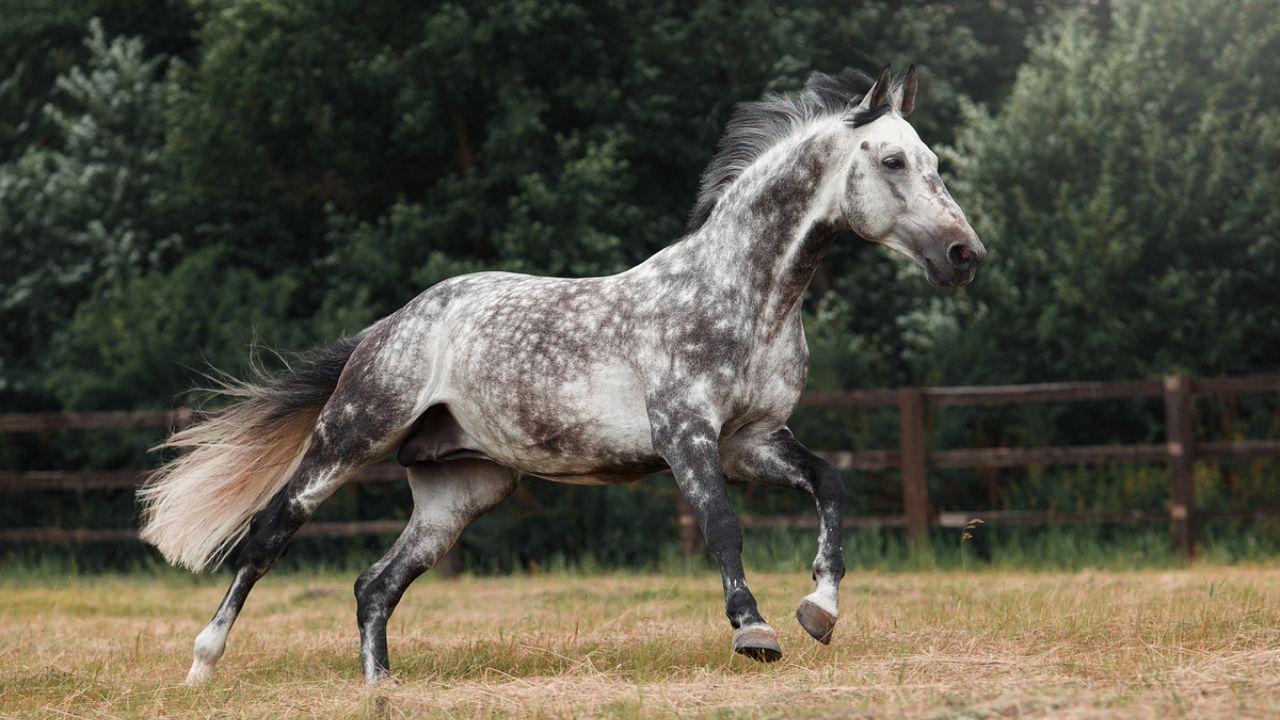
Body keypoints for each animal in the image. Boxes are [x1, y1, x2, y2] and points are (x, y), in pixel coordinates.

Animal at [140, 64, 983, 681]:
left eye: (935, 162)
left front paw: (820, 609)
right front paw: (755, 631)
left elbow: (830, 486)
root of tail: (389, 327)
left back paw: (380, 688)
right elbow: (722, 525)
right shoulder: (687, 435)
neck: (738, 296)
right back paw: (202, 667)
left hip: (460, 490)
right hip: (350, 439)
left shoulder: (754, 440)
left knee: (374, 584)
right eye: (892, 161)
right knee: (267, 537)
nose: (964, 255)